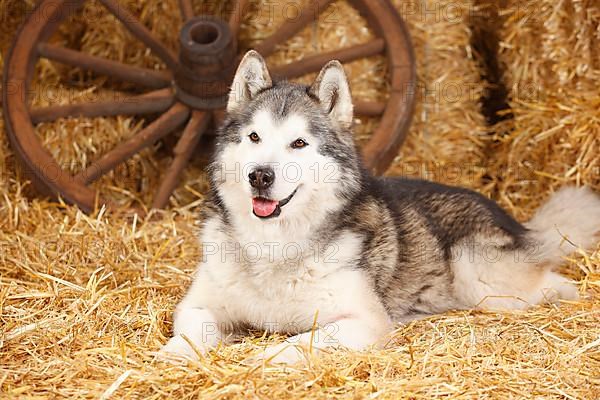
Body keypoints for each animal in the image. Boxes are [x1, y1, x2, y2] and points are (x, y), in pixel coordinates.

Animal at [159, 50, 600, 366]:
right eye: (254, 137)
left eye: (298, 143)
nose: (260, 176)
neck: (274, 246)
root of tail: (515, 221)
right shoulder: (197, 304)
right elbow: (193, 330)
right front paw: (175, 353)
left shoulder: (364, 322)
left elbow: (302, 340)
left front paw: (266, 357)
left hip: (479, 278)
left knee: (557, 283)